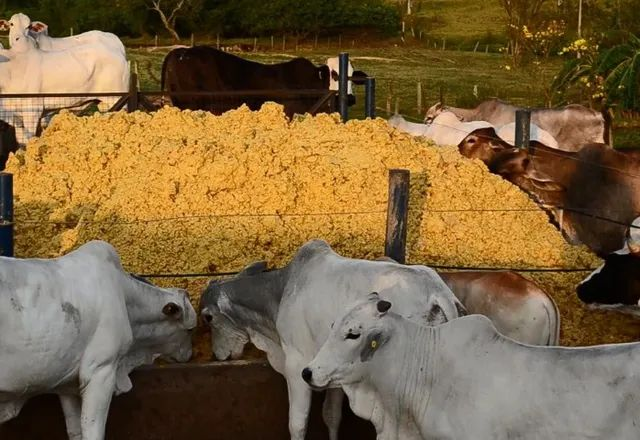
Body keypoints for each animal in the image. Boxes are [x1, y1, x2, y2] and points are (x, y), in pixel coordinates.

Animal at [0, 240, 196, 440]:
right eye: (190, 330)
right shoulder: (100, 370)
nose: (189, 354)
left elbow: (75, 431)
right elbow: (92, 430)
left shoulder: (67, 386)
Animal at [199, 239, 464, 440]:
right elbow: (331, 415)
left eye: (208, 317)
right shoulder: (331, 369)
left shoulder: (296, 364)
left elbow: (297, 424)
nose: (217, 355)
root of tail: (437, 293)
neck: (280, 292)